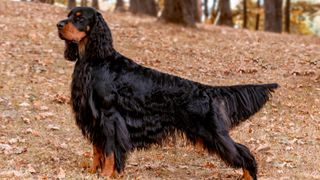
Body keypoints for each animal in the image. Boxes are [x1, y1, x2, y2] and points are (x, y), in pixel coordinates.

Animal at [57, 7, 278, 180]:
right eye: (69, 15)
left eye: (79, 18)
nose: (58, 25)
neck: (94, 60)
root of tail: (206, 90)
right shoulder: (93, 118)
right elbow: (97, 150)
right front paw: (92, 172)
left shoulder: (110, 117)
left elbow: (110, 151)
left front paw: (105, 174)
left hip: (213, 132)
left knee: (244, 152)